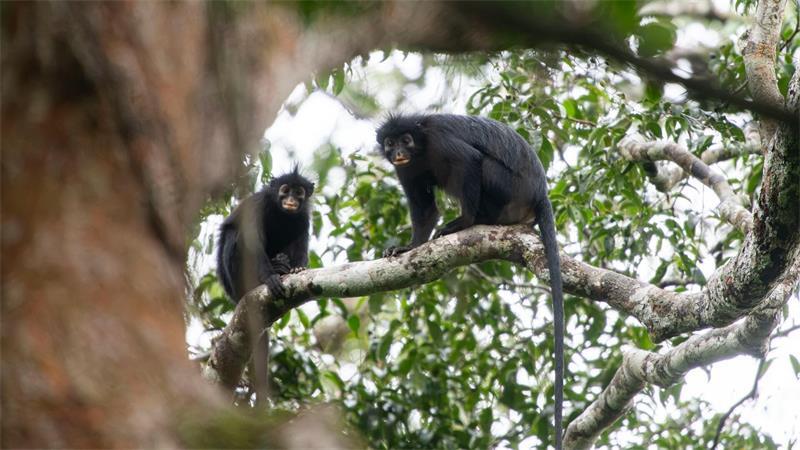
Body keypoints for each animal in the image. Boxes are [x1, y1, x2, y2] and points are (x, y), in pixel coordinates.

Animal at [217, 167, 314, 302]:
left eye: (298, 192)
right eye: (285, 190)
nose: (291, 200)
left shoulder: (303, 217)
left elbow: (300, 244)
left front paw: (298, 268)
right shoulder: (258, 204)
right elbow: (253, 242)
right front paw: (269, 277)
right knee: (232, 234)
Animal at [377, 113, 565, 450]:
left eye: (406, 140)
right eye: (390, 143)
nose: (398, 151)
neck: (421, 149)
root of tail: (539, 192)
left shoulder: (439, 140)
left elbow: (469, 160)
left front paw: (463, 222)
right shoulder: (406, 169)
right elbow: (425, 209)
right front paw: (409, 247)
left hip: (508, 188)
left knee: (483, 165)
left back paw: (474, 221)